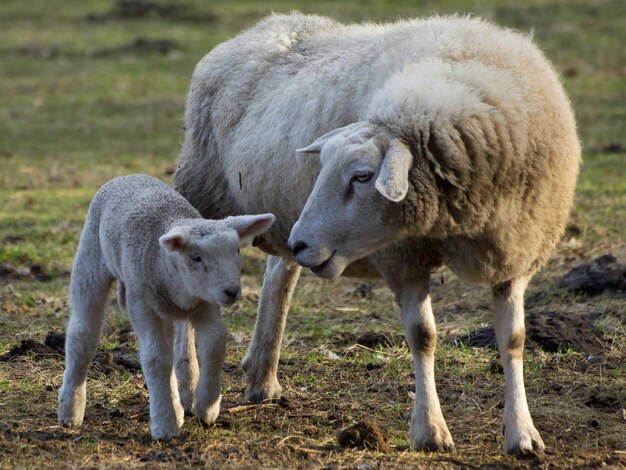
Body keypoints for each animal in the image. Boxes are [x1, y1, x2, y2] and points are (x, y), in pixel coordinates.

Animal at [58, 173, 272, 440]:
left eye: (237, 251)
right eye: (196, 257)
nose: (231, 291)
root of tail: (127, 177)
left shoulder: (206, 302)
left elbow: (214, 344)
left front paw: (207, 407)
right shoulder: (143, 305)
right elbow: (156, 358)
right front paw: (164, 426)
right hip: (91, 260)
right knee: (83, 333)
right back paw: (70, 410)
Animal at [172, 13, 580, 456]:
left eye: (363, 176)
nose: (302, 242)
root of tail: (262, 26)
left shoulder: (516, 253)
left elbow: (514, 339)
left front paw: (522, 433)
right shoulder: (403, 257)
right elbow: (423, 337)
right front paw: (430, 430)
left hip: (282, 216)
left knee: (279, 278)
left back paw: (262, 378)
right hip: (201, 192)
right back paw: (187, 388)